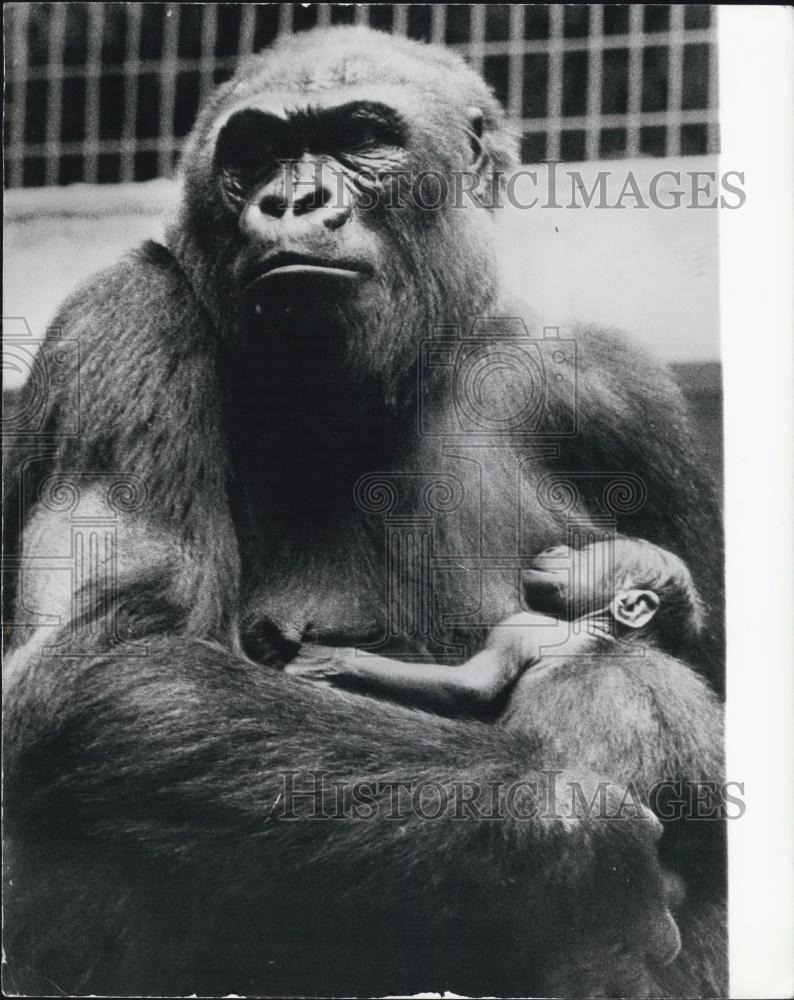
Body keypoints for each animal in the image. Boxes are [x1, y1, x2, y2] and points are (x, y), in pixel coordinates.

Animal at [3, 27, 720, 996]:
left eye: (361, 138)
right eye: (255, 153)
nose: (291, 198)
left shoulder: (621, 395)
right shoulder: (117, 323)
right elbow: (106, 656)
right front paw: (574, 837)